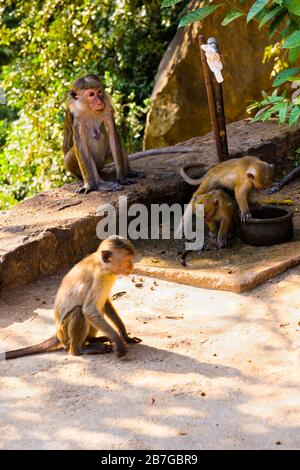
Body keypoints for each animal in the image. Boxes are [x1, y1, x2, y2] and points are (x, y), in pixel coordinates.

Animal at [5, 235, 142, 360]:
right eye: (127, 259)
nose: (132, 266)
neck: (103, 266)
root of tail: (58, 334)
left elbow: (105, 303)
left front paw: (124, 335)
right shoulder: (98, 279)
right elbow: (89, 310)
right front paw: (118, 342)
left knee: (98, 308)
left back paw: (92, 340)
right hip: (65, 335)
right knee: (79, 311)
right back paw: (78, 350)